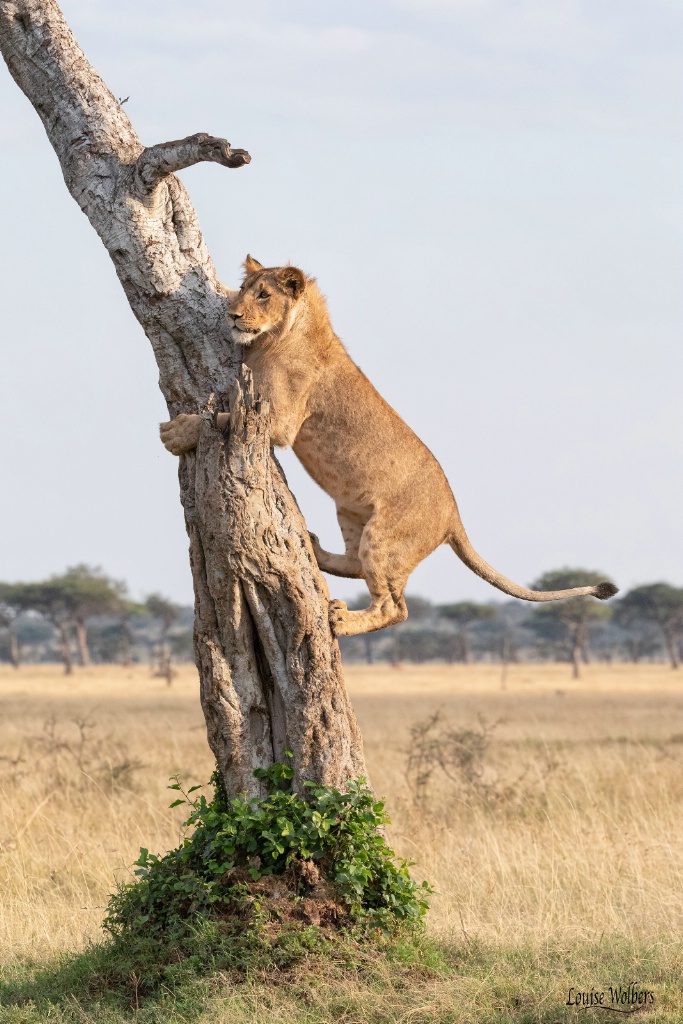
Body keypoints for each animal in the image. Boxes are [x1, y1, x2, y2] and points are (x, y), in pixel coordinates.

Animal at [157, 256, 618, 634]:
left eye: (264, 295)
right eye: (243, 289)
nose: (233, 315)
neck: (281, 337)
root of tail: (453, 517)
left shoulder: (281, 421)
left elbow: (218, 417)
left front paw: (176, 432)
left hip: (385, 535)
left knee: (395, 608)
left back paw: (343, 621)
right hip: (350, 513)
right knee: (355, 565)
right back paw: (316, 550)